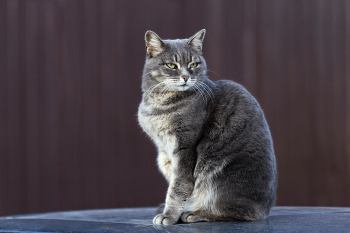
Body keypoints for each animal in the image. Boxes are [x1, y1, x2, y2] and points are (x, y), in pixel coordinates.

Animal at [138, 29, 278, 226]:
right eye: (172, 65)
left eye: (193, 64)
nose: (186, 77)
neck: (159, 102)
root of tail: (266, 208)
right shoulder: (166, 153)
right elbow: (176, 185)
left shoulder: (185, 148)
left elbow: (178, 187)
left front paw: (169, 216)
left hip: (223, 177)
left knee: (242, 212)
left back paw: (195, 213)